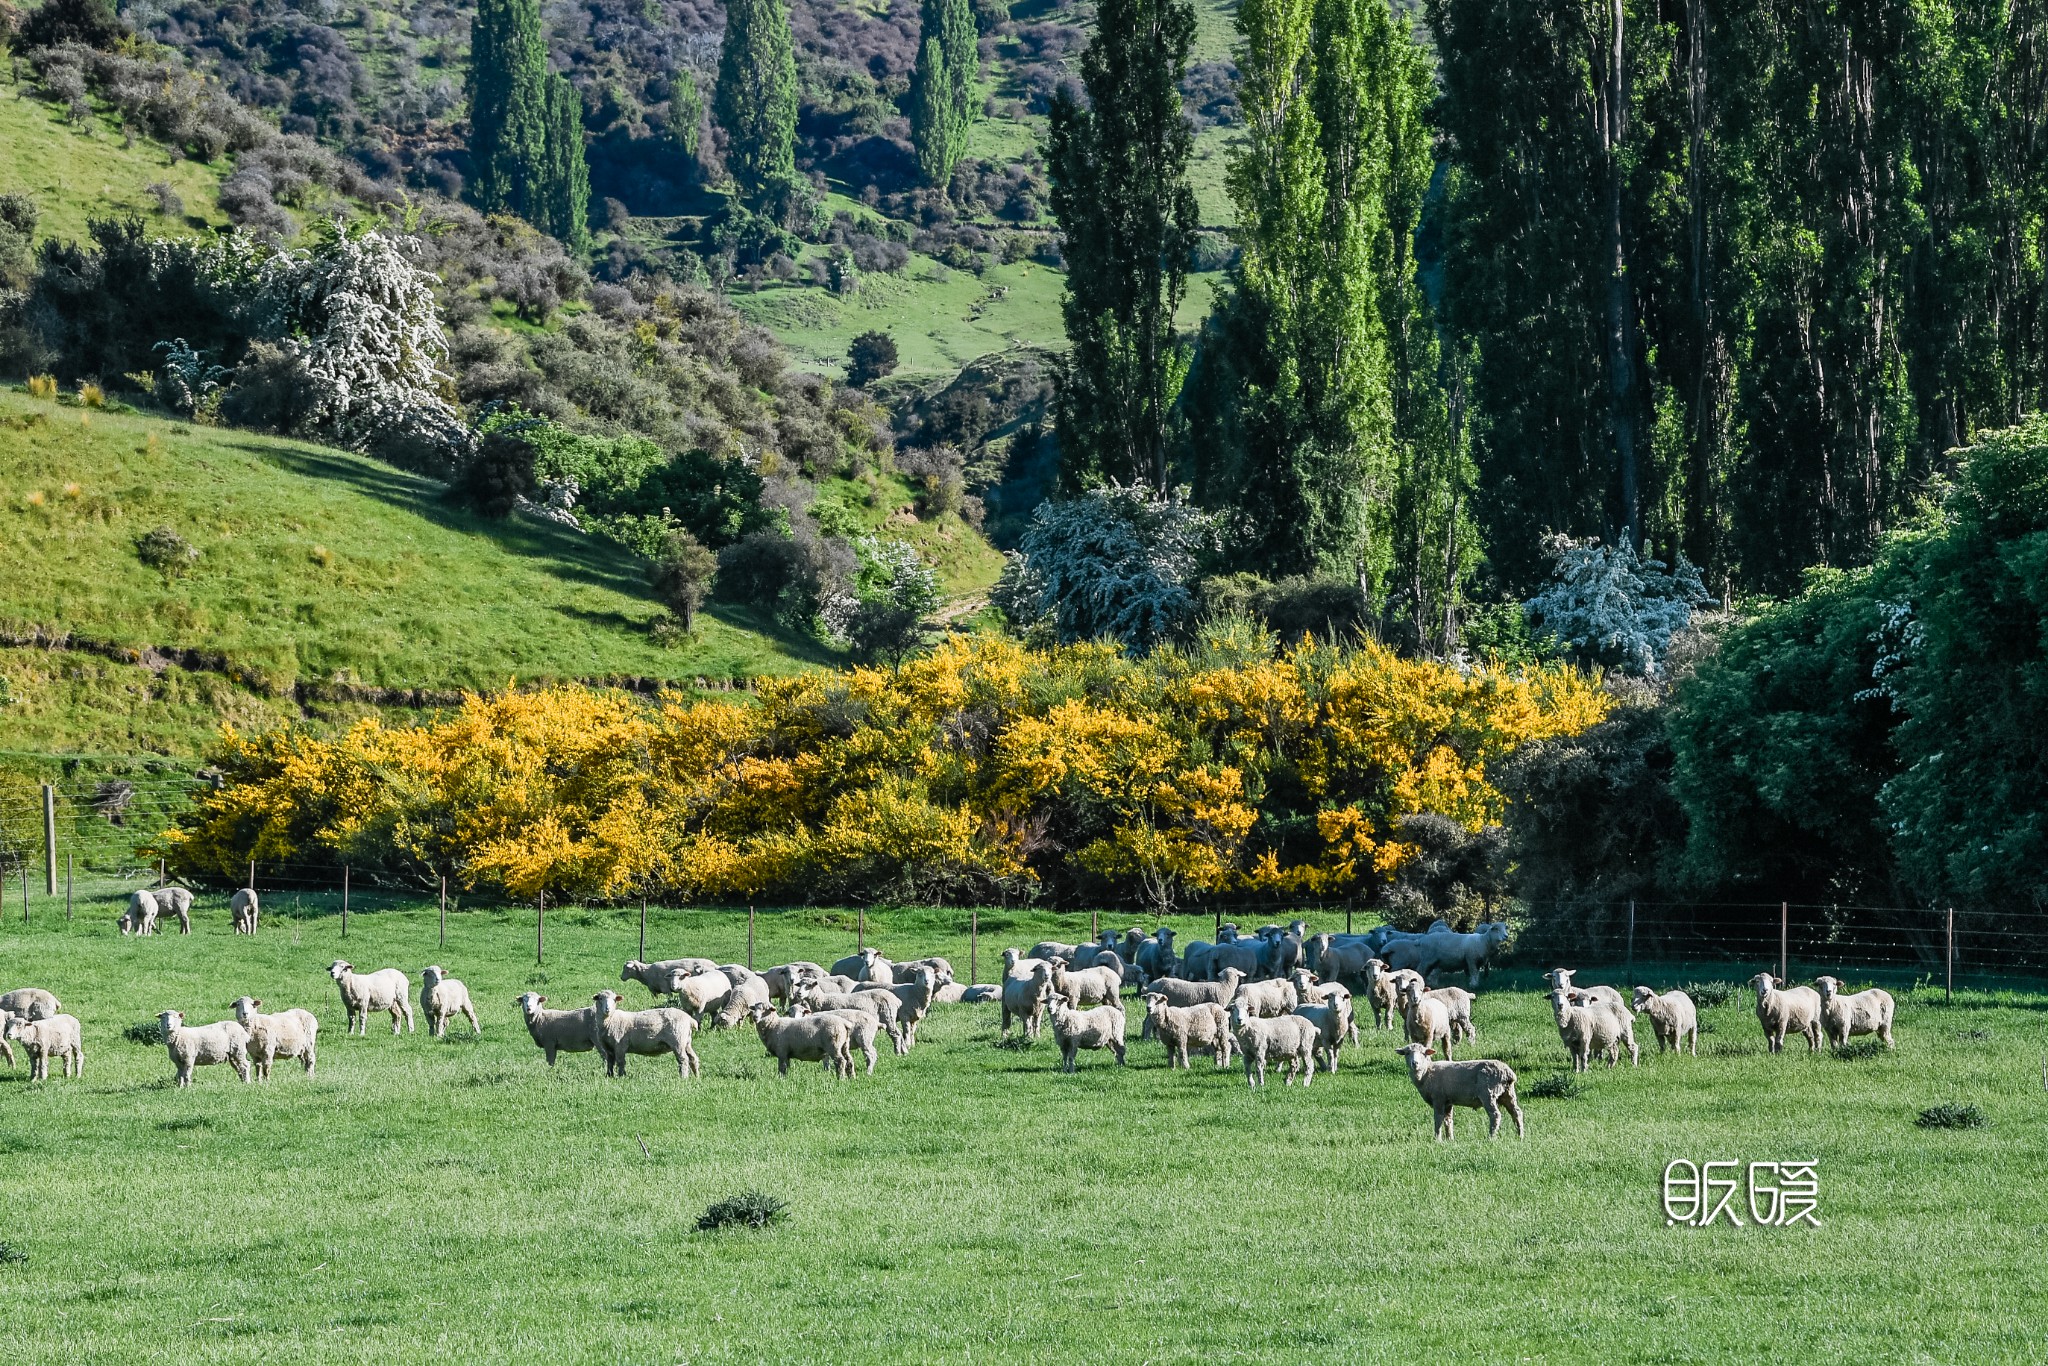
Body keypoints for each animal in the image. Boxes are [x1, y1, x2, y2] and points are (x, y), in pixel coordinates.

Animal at [1392, 1048, 1523, 1146]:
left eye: (1423, 1053)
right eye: (1407, 1053)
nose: (1415, 1063)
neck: (1426, 1072)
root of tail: (1508, 1073)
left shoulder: (1438, 1098)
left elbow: (1438, 1118)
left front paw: (1437, 1139)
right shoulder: (1448, 1101)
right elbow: (1448, 1120)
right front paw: (1450, 1138)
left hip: (1488, 1093)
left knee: (1495, 1115)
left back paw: (1490, 1137)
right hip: (1508, 1093)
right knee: (1516, 1112)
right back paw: (1520, 1136)